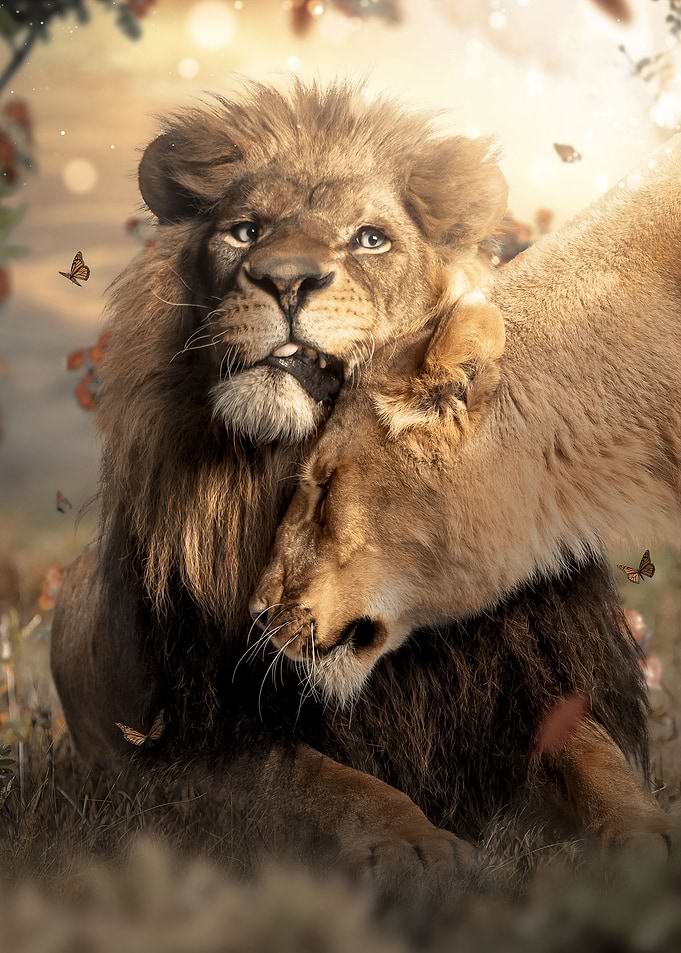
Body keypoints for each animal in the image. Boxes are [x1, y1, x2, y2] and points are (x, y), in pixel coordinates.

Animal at [51, 81, 654, 896]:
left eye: (369, 239)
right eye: (245, 230)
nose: (285, 279)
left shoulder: (525, 687)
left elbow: (597, 759)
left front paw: (648, 833)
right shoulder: (198, 745)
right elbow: (321, 781)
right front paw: (417, 845)